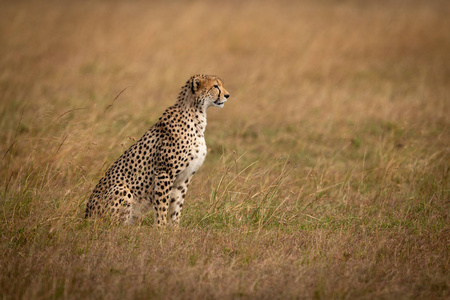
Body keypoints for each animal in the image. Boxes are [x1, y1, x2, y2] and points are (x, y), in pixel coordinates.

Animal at [85, 74, 230, 225]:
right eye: (215, 86)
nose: (227, 95)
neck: (197, 117)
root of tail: (86, 216)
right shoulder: (165, 173)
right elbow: (162, 204)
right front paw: (160, 227)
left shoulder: (184, 178)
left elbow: (176, 207)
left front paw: (174, 228)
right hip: (121, 188)